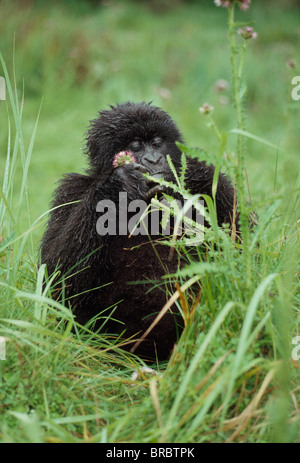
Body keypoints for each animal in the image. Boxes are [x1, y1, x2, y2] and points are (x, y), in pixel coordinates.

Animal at [40, 102, 237, 362]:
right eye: (135, 146)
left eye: (157, 143)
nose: (154, 160)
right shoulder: (70, 190)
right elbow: (57, 277)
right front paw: (119, 183)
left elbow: (243, 242)